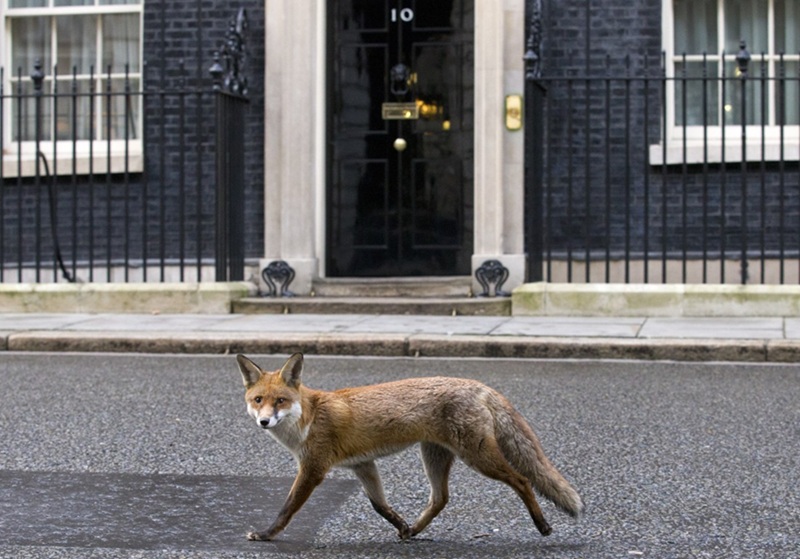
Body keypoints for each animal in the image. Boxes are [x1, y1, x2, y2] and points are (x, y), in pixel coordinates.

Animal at [234, 354, 584, 544]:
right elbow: (379, 505)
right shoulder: (362, 465)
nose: (264, 421)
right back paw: (414, 529)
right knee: (441, 498)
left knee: (523, 481)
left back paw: (542, 525)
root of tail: (479, 385)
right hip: (434, 456)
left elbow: (287, 508)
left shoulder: (314, 468)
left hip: (478, 456)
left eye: (280, 401)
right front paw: (401, 524)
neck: (307, 417)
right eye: (258, 400)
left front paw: (266, 534)